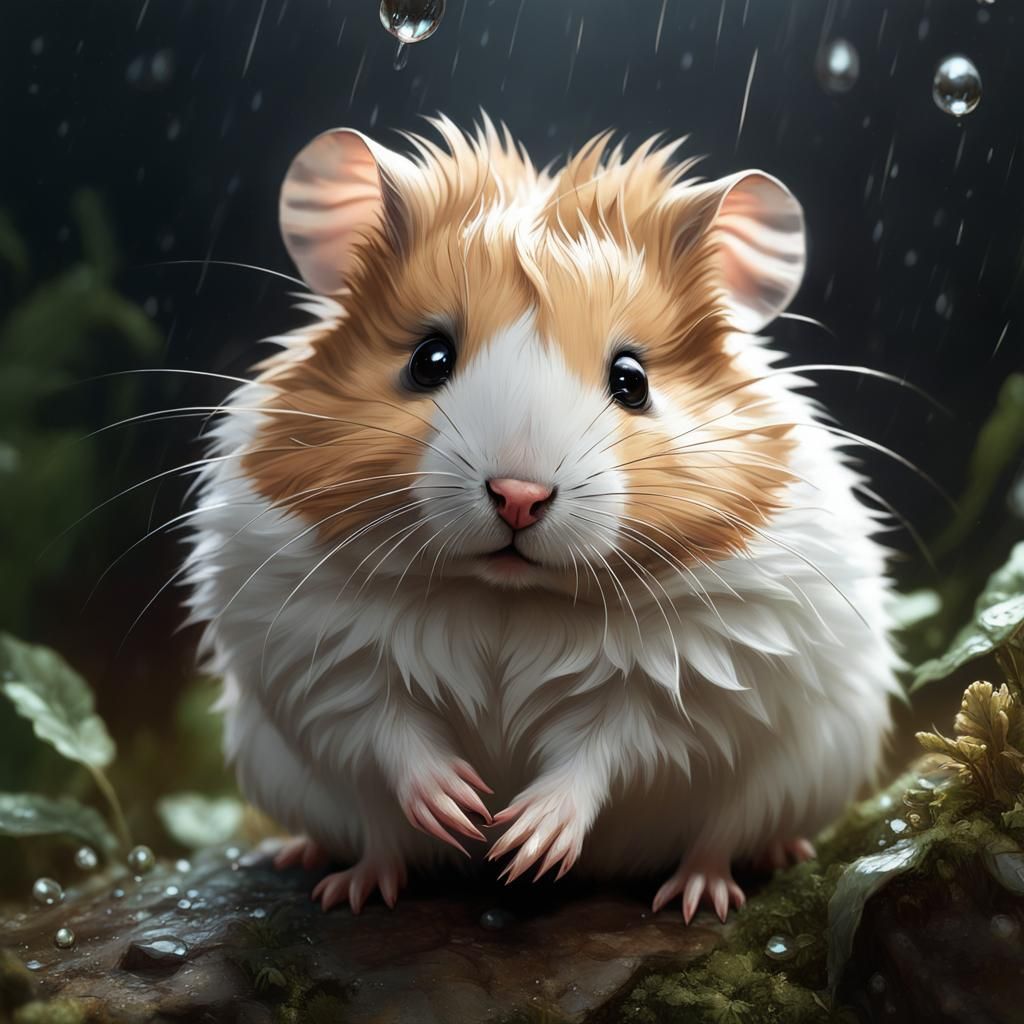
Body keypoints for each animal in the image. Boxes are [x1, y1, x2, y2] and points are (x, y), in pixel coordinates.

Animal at [184, 115, 900, 921]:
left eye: (632, 380)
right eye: (429, 359)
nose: (518, 496)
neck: (510, 598)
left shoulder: (685, 682)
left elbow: (606, 749)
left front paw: (520, 844)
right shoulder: (322, 655)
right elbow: (386, 729)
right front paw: (465, 811)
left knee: (721, 837)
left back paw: (705, 896)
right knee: (374, 838)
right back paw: (340, 881)